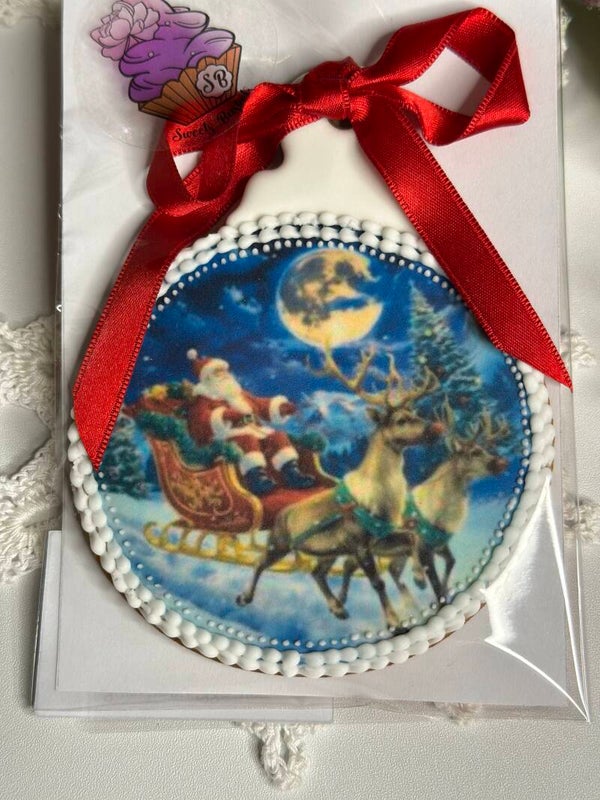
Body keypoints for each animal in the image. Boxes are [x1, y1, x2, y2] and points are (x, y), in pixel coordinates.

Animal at [235, 343, 444, 631]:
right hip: (279, 543)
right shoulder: (359, 543)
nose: (437, 427)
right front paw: (393, 621)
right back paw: (244, 597)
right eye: (401, 420)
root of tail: (281, 515)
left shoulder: (381, 536)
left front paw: (419, 578)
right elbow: (378, 582)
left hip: (328, 551)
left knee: (316, 572)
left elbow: (411, 538)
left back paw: (338, 608)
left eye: (415, 413)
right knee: (259, 563)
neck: (380, 498)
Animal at [338, 404, 511, 608]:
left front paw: (444, 589)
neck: (441, 512)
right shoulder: (423, 547)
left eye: (485, 449)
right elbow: (435, 585)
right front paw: (436, 594)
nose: (502, 462)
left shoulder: (440, 544)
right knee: (354, 565)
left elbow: (451, 562)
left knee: (374, 568)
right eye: (474, 452)